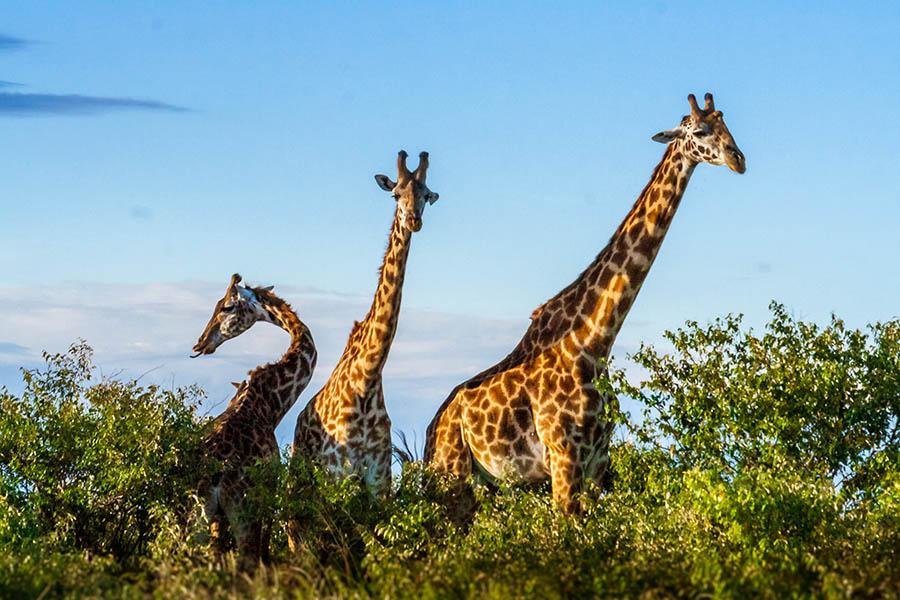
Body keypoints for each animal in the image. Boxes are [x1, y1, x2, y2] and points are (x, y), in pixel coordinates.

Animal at [191, 273, 317, 564]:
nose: (200, 343)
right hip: (243, 509)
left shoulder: (218, 518)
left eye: (225, 306)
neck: (270, 404)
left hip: (196, 514)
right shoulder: (269, 496)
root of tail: (213, 475)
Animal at [290, 150, 439, 498]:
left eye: (426, 195)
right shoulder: (338, 472)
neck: (368, 375)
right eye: (396, 194)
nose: (413, 220)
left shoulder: (378, 478)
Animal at [425, 93, 746, 515]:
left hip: (485, 483)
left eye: (727, 125)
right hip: (453, 475)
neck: (595, 340)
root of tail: (430, 432)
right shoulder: (564, 458)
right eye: (699, 131)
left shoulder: (596, 463)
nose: (738, 159)